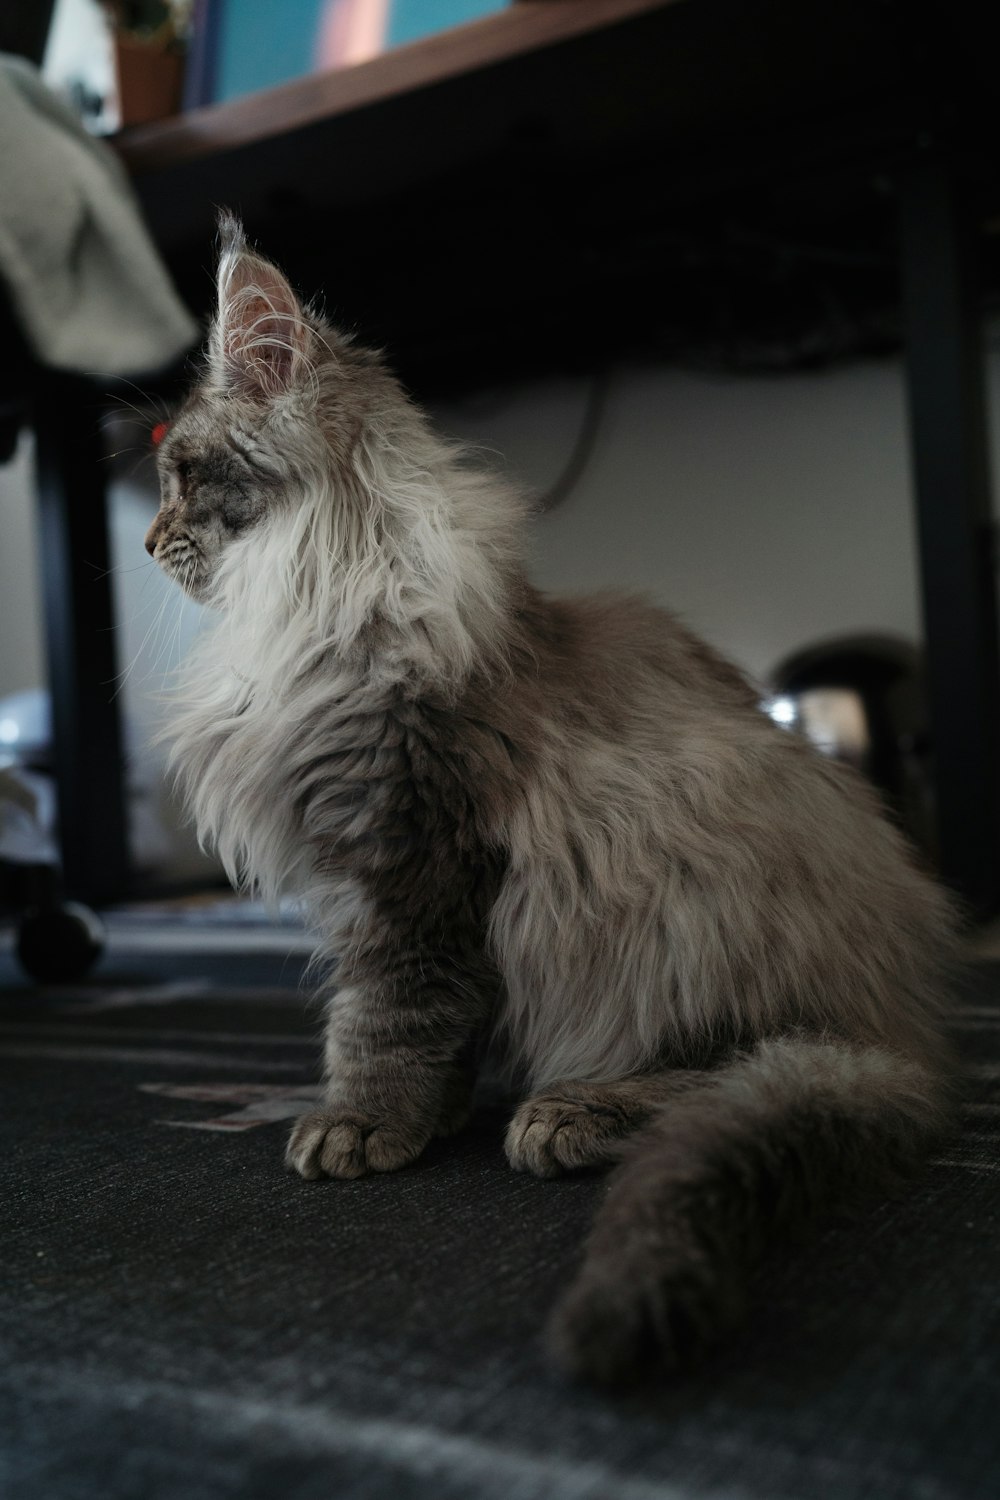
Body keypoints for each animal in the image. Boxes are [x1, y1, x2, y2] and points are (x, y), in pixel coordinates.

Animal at [146, 217, 953, 1386]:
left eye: (178, 477)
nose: (148, 543)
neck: (315, 599)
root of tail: (910, 1034)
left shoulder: (412, 857)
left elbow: (387, 1014)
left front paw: (360, 1122)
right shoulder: (384, 870)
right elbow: (427, 1025)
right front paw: (424, 1119)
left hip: (683, 879)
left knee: (731, 1071)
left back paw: (573, 1112)